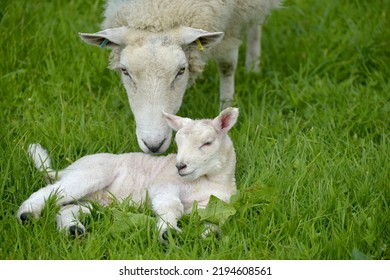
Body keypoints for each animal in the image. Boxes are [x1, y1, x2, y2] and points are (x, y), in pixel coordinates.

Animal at [16, 107, 239, 243]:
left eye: (207, 143)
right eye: (178, 143)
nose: (180, 166)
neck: (209, 181)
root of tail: (67, 169)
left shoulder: (211, 204)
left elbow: (212, 219)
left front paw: (211, 235)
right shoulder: (164, 184)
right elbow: (170, 205)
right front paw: (168, 233)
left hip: (99, 201)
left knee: (67, 208)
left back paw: (73, 230)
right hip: (92, 173)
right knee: (53, 191)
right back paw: (27, 214)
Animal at [79, 0, 282, 153]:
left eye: (181, 71)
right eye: (125, 71)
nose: (154, 145)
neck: (158, 8)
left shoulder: (232, 24)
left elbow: (227, 66)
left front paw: (226, 105)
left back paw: (253, 65)